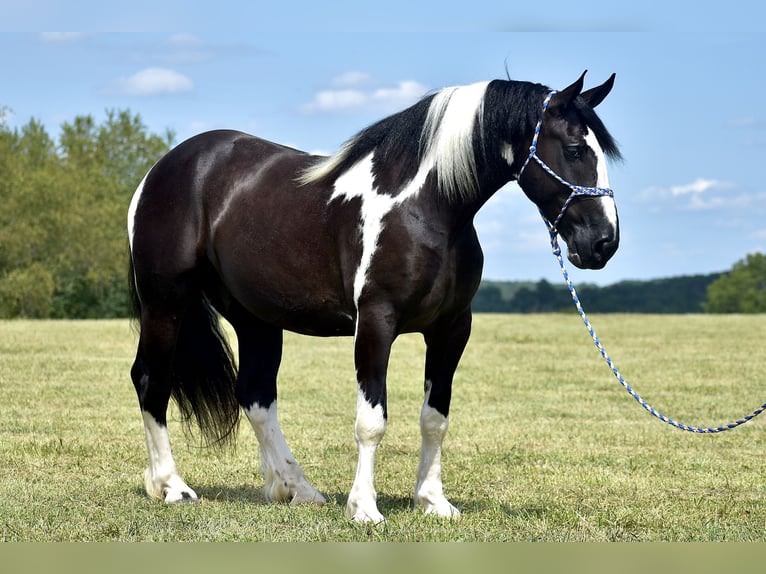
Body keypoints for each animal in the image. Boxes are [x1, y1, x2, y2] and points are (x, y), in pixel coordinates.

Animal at [127, 70, 624, 524]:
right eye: (575, 149)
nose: (604, 242)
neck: (425, 207)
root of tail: (161, 170)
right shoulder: (376, 322)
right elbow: (371, 422)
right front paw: (364, 508)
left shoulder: (452, 328)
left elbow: (434, 418)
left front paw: (433, 501)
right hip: (165, 303)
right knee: (152, 381)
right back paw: (172, 486)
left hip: (256, 318)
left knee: (256, 396)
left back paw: (296, 488)